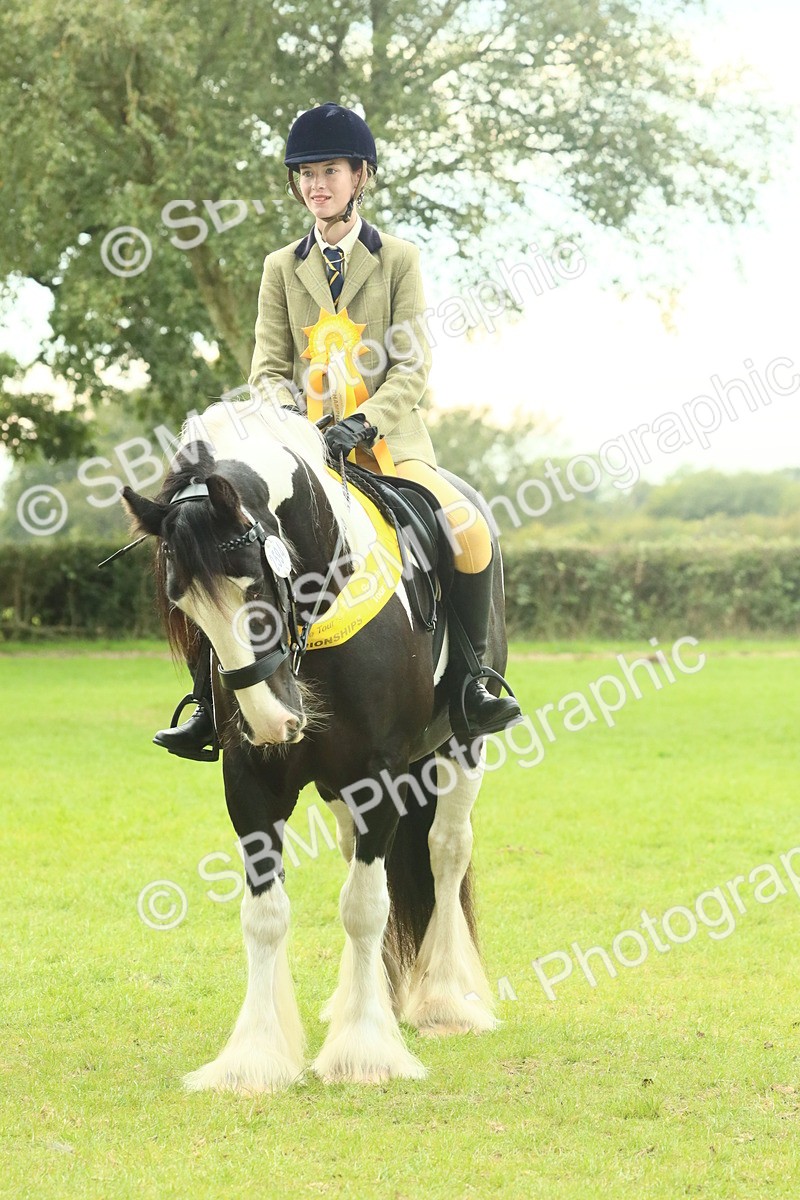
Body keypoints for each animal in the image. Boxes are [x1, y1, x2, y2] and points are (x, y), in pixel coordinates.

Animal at [122, 397, 511, 1092]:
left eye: (254, 585)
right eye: (185, 608)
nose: (273, 722)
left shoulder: (381, 774)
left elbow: (364, 905)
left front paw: (364, 1052)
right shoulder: (252, 781)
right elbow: (266, 913)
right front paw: (255, 1057)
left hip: (459, 748)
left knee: (445, 851)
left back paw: (445, 999)